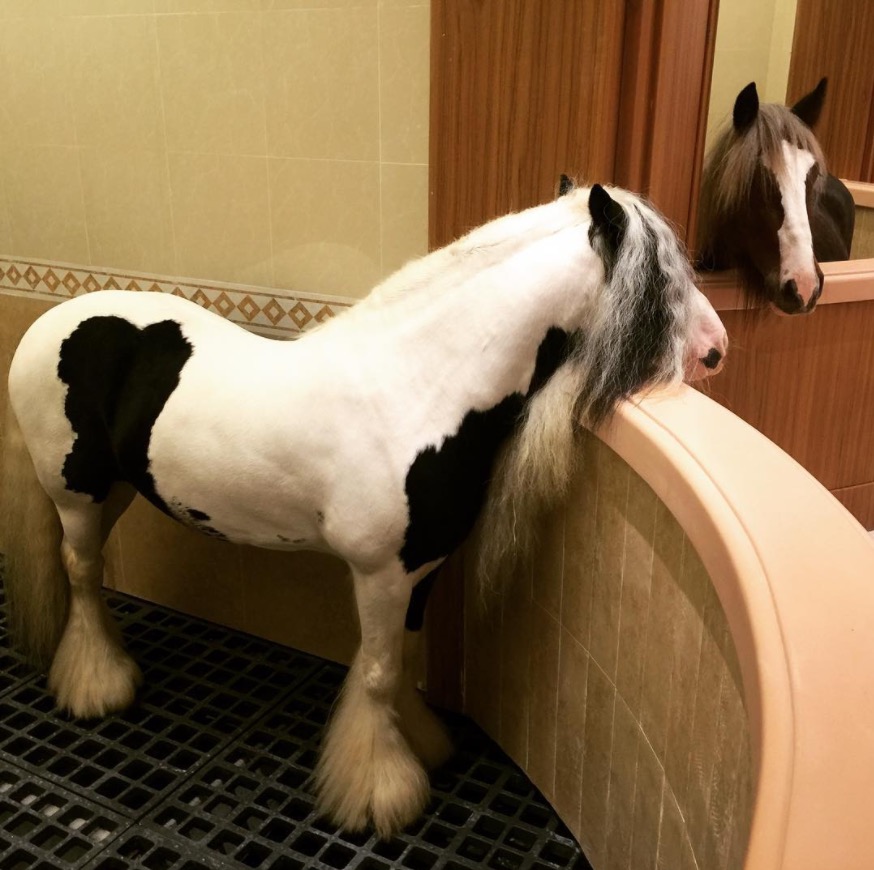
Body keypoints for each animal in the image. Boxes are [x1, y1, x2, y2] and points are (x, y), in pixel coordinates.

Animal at [1, 182, 727, 839]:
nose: (716, 349)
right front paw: (381, 794)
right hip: (75, 494)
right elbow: (377, 674)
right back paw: (99, 687)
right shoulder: (379, 572)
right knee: (81, 573)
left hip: (117, 490)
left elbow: (400, 657)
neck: (417, 388)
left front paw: (423, 744)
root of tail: (46, 325)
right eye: (661, 280)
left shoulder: (422, 567)